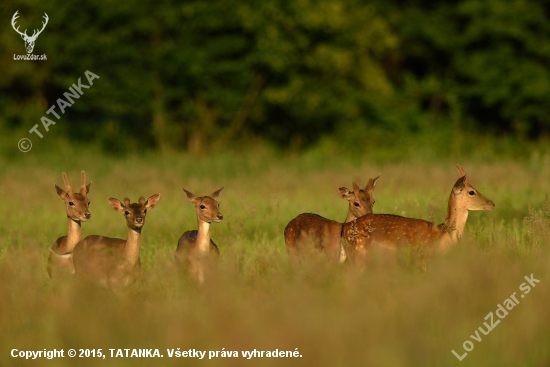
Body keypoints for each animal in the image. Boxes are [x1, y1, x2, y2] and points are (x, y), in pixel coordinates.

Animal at [344, 166, 496, 268]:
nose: (492, 203)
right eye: (472, 191)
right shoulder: (422, 258)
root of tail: (345, 227)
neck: (442, 235)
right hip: (358, 253)